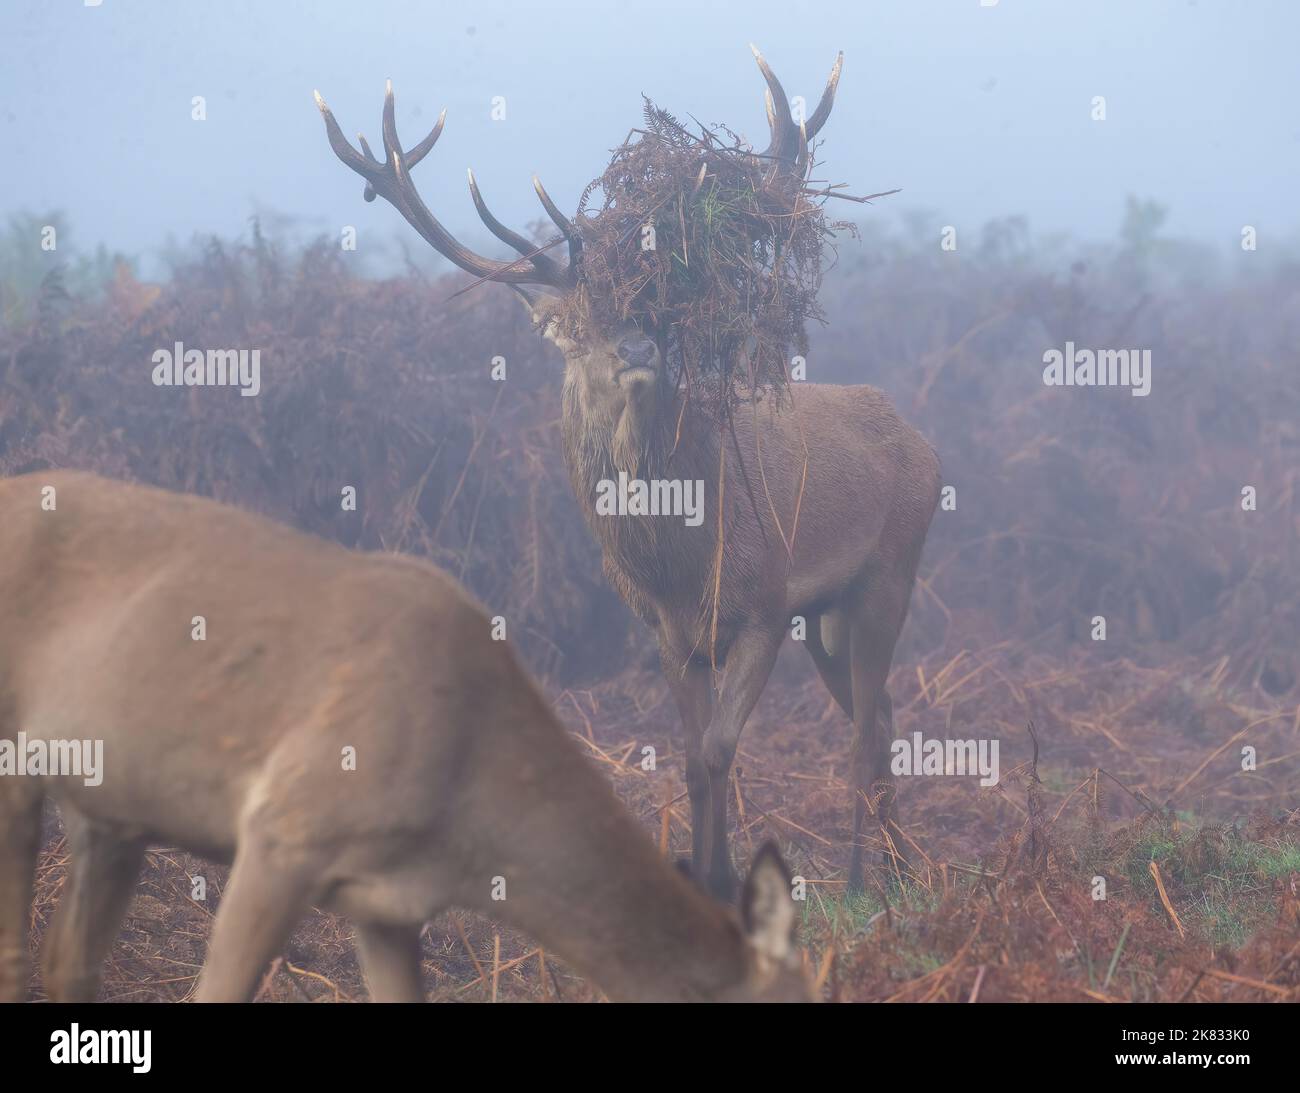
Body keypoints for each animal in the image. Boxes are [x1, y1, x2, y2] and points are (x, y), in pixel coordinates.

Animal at [315, 47, 941, 900]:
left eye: (660, 305)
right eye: (579, 324)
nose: (639, 347)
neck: (681, 557)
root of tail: (923, 442)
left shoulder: (766, 602)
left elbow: (716, 747)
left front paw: (726, 880)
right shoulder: (666, 631)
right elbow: (691, 758)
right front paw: (708, 877)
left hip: (889, 571)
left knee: (867, 729)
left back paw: (864, 880)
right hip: (830, 615)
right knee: (879, 718)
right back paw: (905, 869)